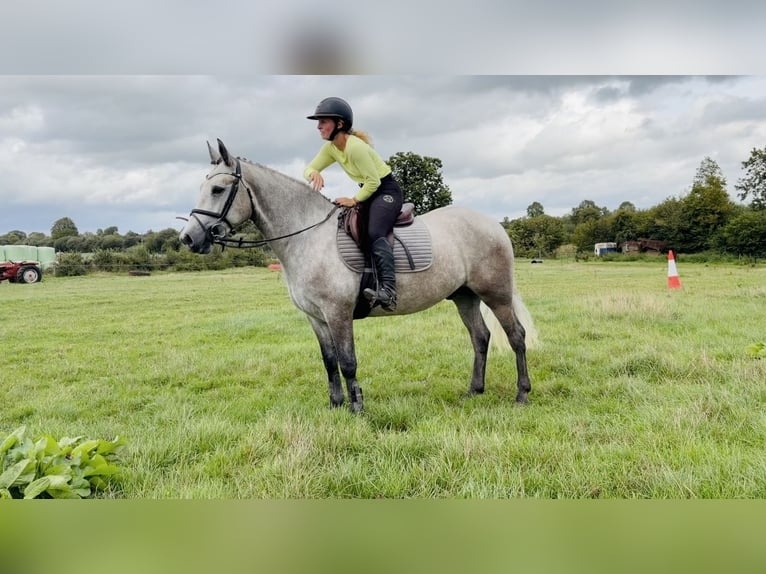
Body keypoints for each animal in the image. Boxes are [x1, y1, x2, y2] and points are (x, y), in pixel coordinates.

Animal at [179, 139, 535, 413]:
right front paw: (336, 404)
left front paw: (357, 407)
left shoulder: (338, 313)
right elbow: (329, 361)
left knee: (516, 337)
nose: (188, 238)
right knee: (481, 338)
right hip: (465, 296)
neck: (308, 236)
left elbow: (348, 361)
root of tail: (493, 224)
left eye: (217, 189)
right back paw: (474, 390)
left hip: (496, 295)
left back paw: (522, 394)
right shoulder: (316, 318)